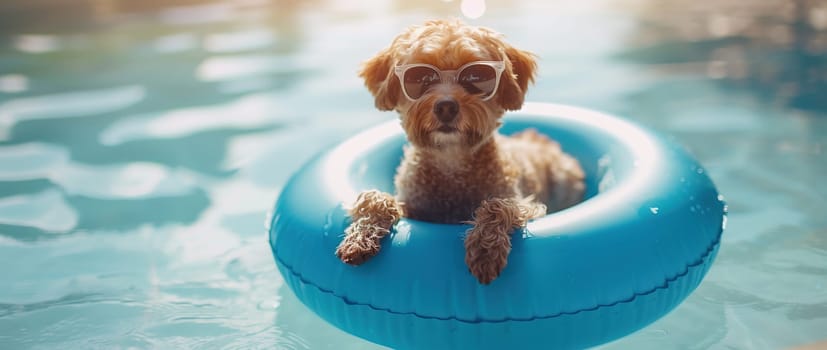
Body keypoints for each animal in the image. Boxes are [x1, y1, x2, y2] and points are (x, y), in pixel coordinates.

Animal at [334, 19, 584, 284]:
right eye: (420, 77)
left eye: (476, 75)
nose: (445, 106)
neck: (451, 160)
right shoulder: (414, 206)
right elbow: (377, 199)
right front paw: (361, 235)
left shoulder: (530, 205)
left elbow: (500, 205)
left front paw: (484, 248)